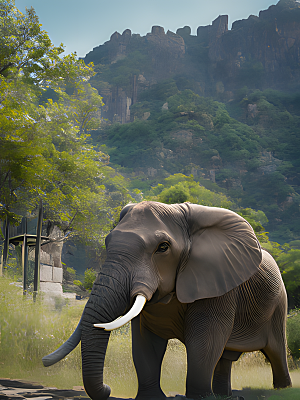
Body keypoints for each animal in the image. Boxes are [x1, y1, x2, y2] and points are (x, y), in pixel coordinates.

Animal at [43, 203, 292, 400]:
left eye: (163, 247)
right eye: (107, 242)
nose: (108, 388)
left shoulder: (218, 285)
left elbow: (205, 341)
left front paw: (199, 398)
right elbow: (145, 342)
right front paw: (152, 398)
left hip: (279, 305)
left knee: (276, 351)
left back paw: (282, 389)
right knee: (226, 357)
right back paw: (225, 396)